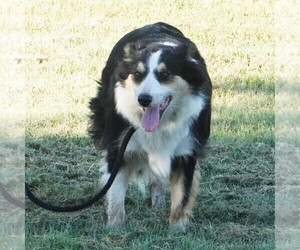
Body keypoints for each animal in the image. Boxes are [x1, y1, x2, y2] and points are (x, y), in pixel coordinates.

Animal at [88, 22, 212, 230]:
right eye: (137, 74)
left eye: (165, 74)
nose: (143, 100)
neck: (163, 123)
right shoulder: (118, 145)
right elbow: (115, 192)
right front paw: (115, 228)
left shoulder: (187, 148)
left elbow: (182, 195)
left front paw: (177, 230)